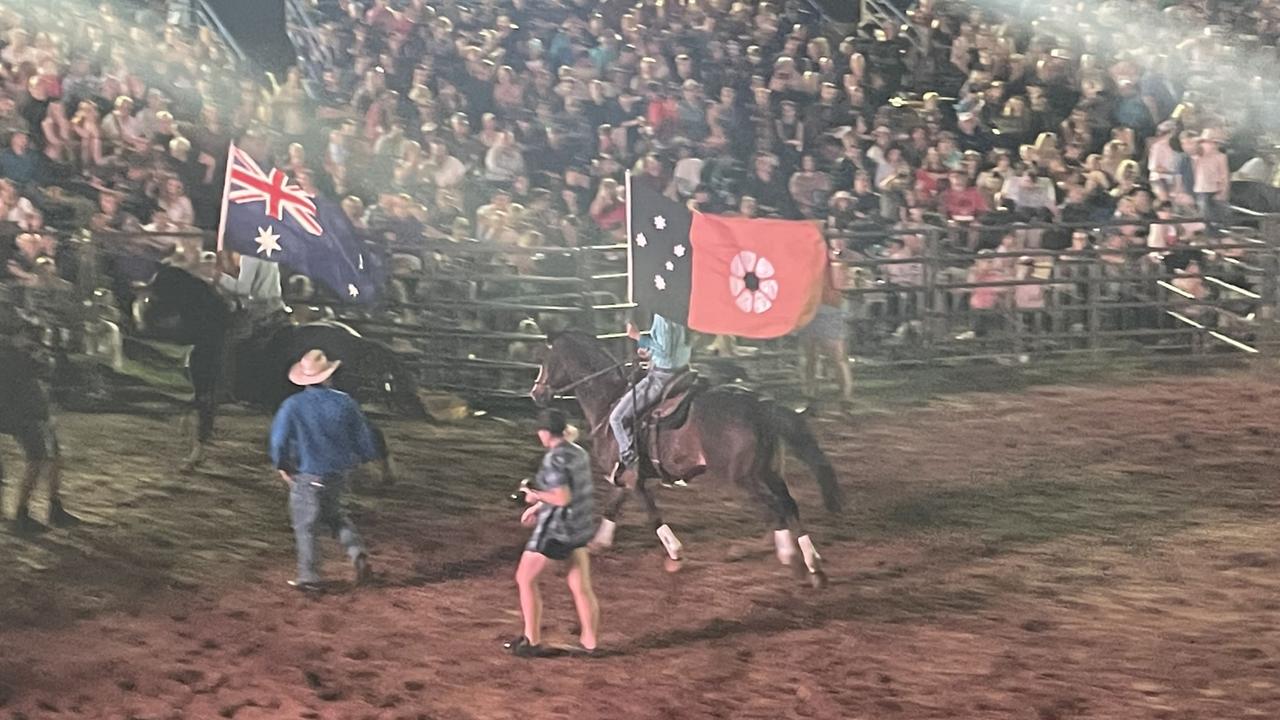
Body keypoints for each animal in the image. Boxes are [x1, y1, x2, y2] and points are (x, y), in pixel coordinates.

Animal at [527, 327, 839, 586]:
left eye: (545, 358)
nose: (536, 393)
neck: (609, 401)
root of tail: (758, 404)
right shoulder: (625, 478)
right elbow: (612, 509)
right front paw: (598, 544)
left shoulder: (633, 478)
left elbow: (652, 514)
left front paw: (675, 554)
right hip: (769, 471)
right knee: (789, 505)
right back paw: (813, 564)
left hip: (745, 478)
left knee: (775, 510)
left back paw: (791, 559)